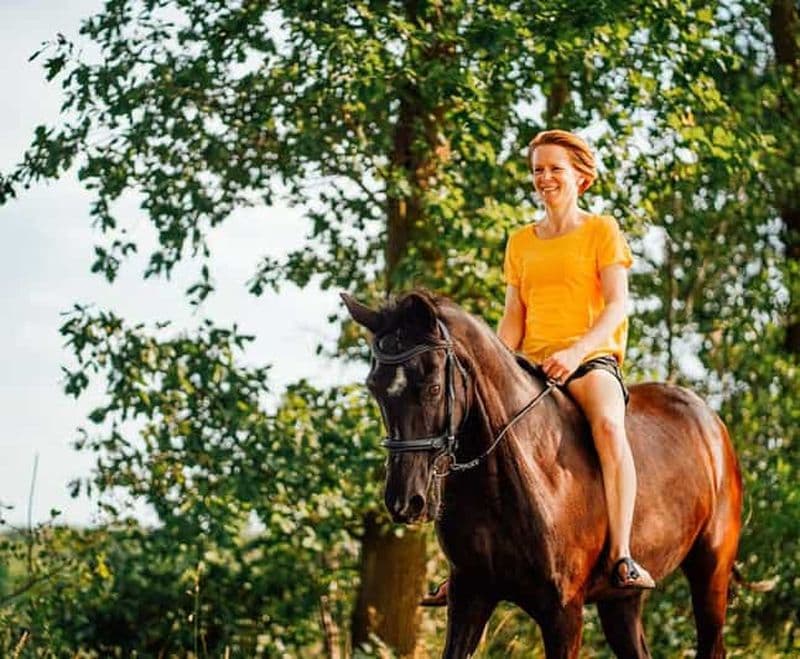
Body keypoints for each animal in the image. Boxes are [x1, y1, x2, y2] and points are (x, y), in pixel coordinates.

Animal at [342, 290, 743, 659]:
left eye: (433, 387)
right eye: (374, 388)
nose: (405, 501)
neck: (507, 480)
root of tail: (710, 421)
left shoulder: (563, 613)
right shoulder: (469, 596)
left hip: (711, 573)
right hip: (621, 600)